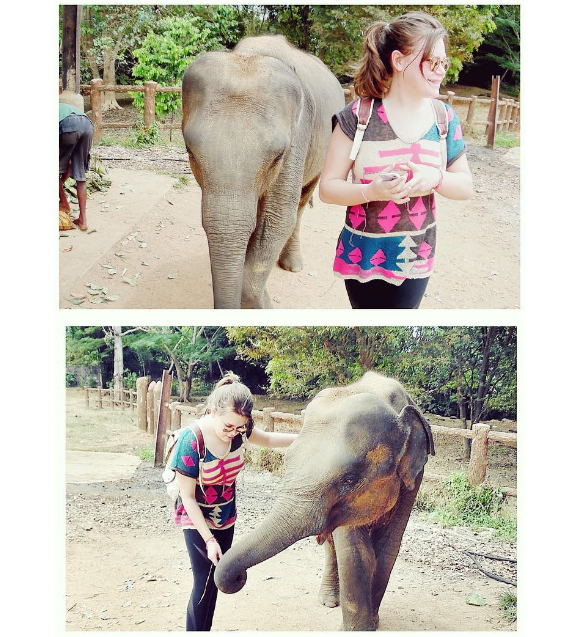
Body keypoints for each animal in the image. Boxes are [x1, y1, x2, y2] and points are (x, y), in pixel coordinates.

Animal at [181, 34, 344, 308]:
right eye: (189, 151)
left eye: (277, 157)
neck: (249, 55)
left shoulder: (298, 137)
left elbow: (277, 218)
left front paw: (262, 304)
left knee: (301, 203)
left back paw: (293, 265)